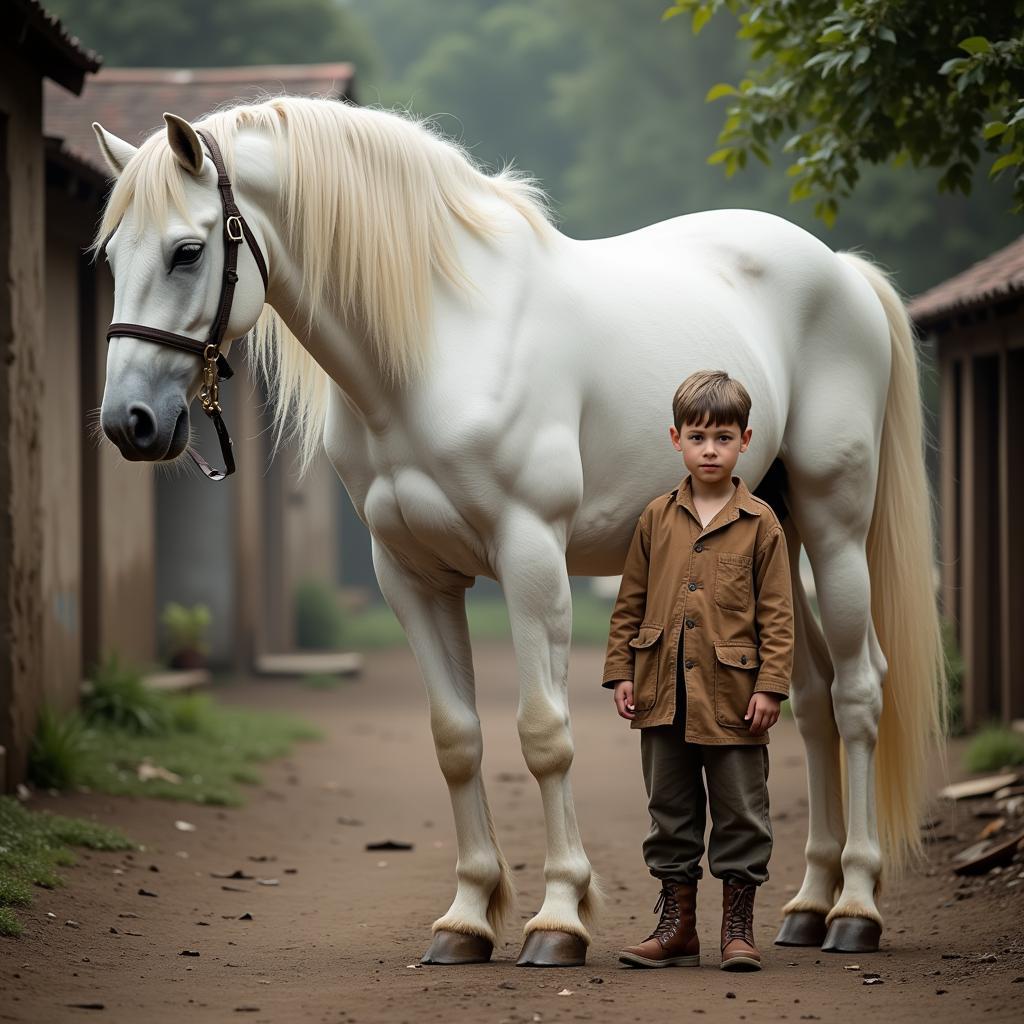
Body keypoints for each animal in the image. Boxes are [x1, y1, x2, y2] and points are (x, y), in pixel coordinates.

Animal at [92, 92, 946, 962]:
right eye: (111, 256)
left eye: (188, 251)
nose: (129, 422)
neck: (440, 343)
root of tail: (840, 268)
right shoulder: (410, 575)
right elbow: (456, 739)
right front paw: (467, 916)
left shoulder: (532, 556)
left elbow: (544, 733)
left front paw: (559, 915)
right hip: (776, 538)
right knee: (805, 699)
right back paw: (807, 904)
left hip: (834, 527)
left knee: (856, 693)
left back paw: (855, 908)